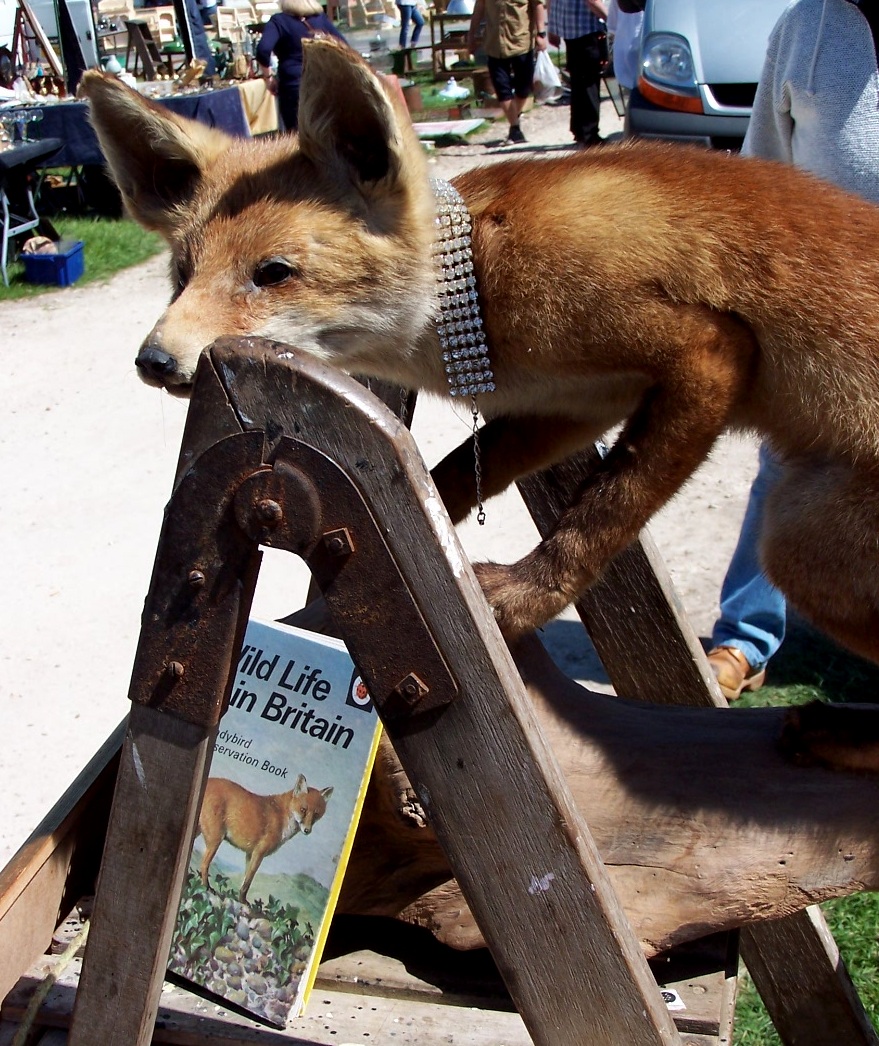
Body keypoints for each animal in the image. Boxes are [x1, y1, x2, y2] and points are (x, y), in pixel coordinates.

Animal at [81, 42, 879, 773]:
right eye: (182, 275)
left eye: (273, 273)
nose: (154, 361)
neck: (484, 276)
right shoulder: (578, 401)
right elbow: (461, 472)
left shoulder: (706, 351)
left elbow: (601, 514)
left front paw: (521, 599)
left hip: (794, 536)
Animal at [198, 775, 333, 902]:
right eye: (303, 810)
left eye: (316, 814)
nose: (307, 830)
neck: (282, 817)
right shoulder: (259, 852)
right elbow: (248, 881)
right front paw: (243, 901)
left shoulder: (250, 853)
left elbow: (245, 880)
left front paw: (241, 899)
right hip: (215, 840)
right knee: (204, 865)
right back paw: (206, 887)